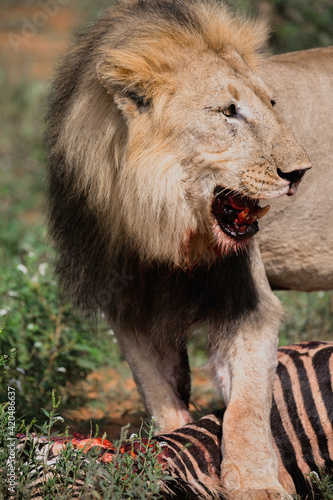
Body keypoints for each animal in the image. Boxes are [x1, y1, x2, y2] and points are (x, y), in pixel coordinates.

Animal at [44, 1, 308, 498]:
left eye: (272, 103)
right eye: (228, 111)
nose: (301, 171)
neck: (159, 227)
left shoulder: (247, 302)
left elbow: (247, 408)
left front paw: (259, 482)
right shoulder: (128, 311)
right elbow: (161, 397)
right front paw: (165, 459)